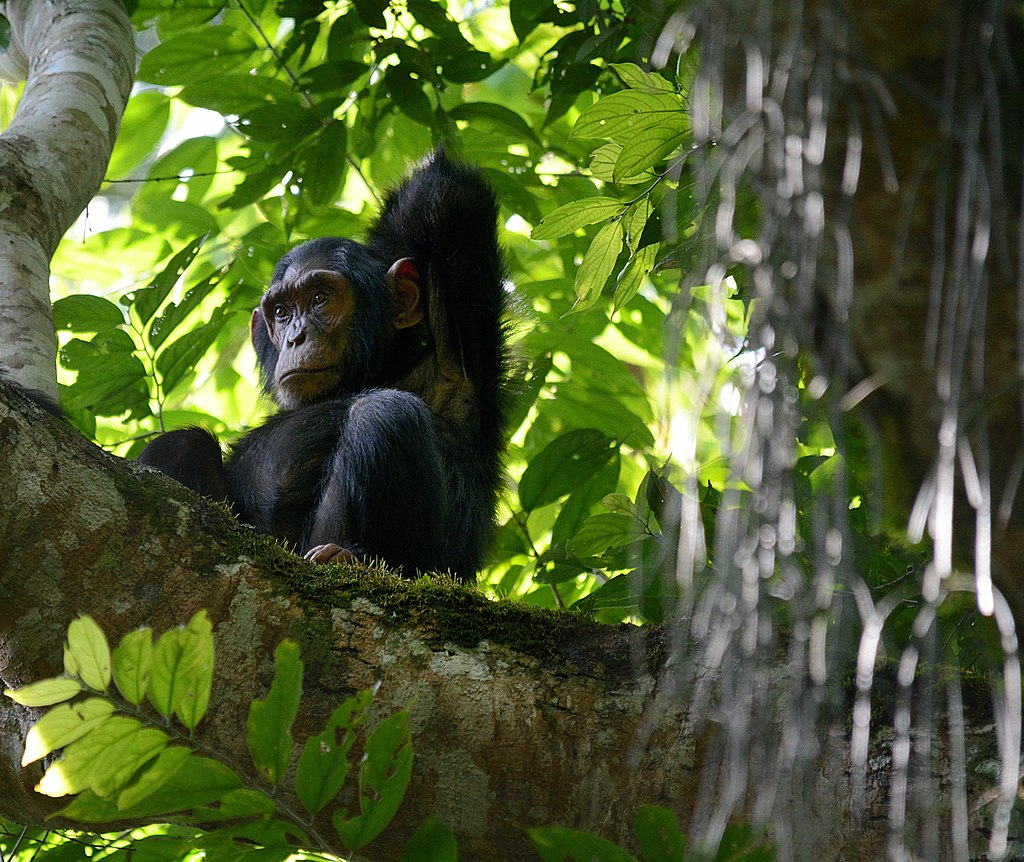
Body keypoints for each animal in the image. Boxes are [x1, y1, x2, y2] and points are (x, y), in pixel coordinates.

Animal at [140, 151, 507, 581]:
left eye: (320, 298)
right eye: (281, 312)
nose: (296, 337)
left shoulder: (456, 363)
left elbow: (448, 200)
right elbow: (432, 202)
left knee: (385, 413)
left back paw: (348, 556)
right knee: (181, 444)